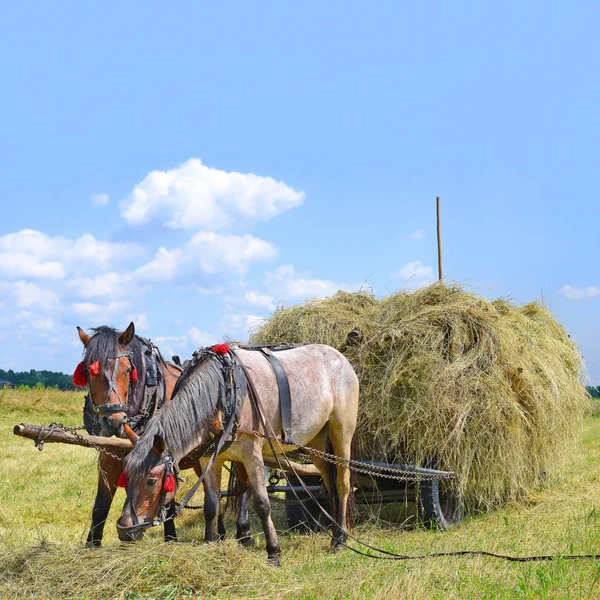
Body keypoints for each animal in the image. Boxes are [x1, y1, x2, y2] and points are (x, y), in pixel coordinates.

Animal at [118, 344, 360, 564]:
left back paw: (339, 540)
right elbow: (211, 504)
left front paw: (273, 552)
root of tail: (340, 358)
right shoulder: (209, 459)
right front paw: (210, 543)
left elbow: (262, 503)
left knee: (342, 484)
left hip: (341, 433)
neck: (224, 394)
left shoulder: (253, 455)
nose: (124, 530)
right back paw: (334, 531)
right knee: (329, 485)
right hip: (317, 442)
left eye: (151, 481)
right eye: (126, 478)